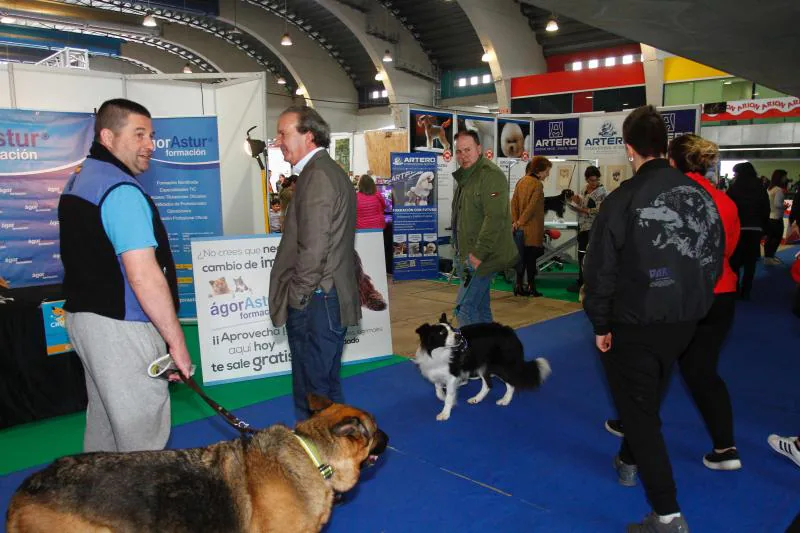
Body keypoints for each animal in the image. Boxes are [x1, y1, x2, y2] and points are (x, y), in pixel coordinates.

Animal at [412, 312, 552, 420]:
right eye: (442, 333)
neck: (438, 351)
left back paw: (505, 400)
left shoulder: (452, 375)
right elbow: (437, 389)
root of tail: (509, 331)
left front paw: (445, 413)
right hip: (483, 366)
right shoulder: (434, 371)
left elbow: (449, 395)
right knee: (488, 384)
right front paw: (443, 396)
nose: (459, 336)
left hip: (500, 365)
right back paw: (477, 398)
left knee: (511, 383)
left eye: (452, 329)